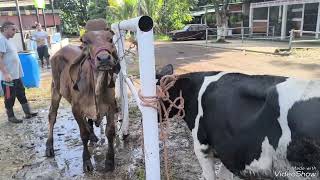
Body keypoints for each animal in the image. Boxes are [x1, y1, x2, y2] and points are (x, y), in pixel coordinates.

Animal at [44, 19, 120, 172]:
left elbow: (110, 132)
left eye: (110, 39)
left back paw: (93, 136)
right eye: (86, 41)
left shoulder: (111, 106)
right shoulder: (76, 109)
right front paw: (86, 161)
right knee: (52, 116)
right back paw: (49, 146)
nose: (104, 58)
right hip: (55, 89)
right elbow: (83, 134)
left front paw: (109, 161)